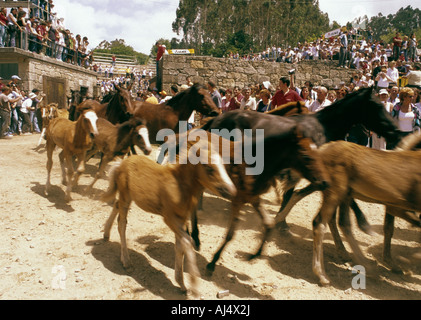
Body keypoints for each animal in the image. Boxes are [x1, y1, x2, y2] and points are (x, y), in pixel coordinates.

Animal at [100, 133, 235, 298]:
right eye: (209, 168)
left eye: (223, 165)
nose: (231, 190)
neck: (180, 186)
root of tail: (121, 163)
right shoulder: (169, 218)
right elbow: (187, 242)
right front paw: (193, 285)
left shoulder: (182, 219)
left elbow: (180, 245)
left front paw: (182, 284)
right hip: (126, 196)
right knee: (121, 223)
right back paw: (126, 261)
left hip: (127, 196)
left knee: (115, 205)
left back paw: (106, 233)